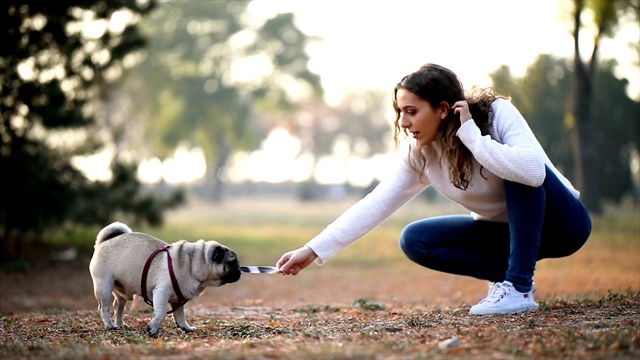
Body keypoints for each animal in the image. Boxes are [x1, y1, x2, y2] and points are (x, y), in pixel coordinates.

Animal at [89, 221, 241, 336]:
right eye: (232, 263)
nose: (239, 269)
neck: (193, 262)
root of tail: (103, 242)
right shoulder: (161, 292)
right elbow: (161, 312)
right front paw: (152, 328)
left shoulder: (178, 300)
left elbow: (180, 316)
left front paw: (185, 328)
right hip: (104, 287)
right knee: (104, 308)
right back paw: (110, 325)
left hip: (121, 291)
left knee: (118, 306)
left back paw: (120, 324)